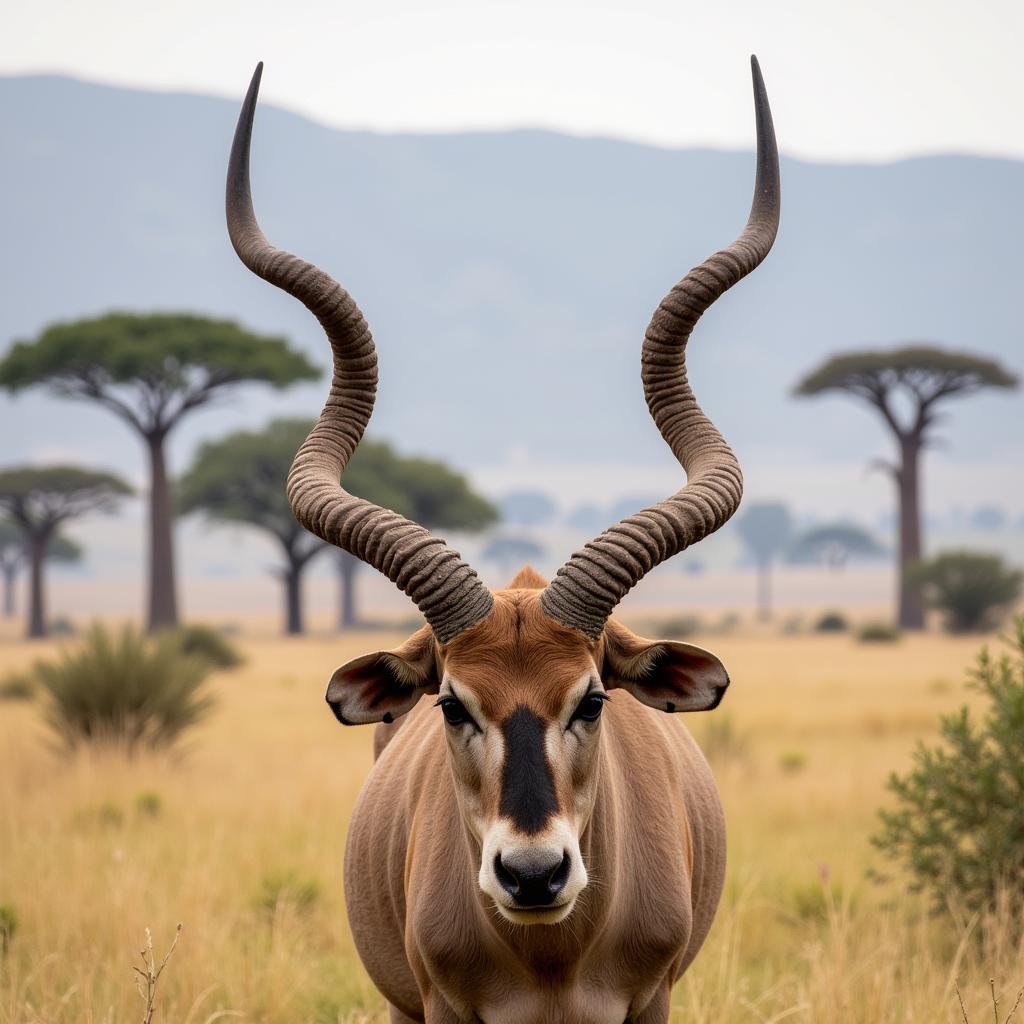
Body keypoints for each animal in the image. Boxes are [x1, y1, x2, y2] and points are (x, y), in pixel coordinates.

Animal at [228, 58, 778, 1024]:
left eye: (592, 699)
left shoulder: (653, 1001)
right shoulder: (443, 1006)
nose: (532, 875)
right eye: (453, 703)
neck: (552, 960)